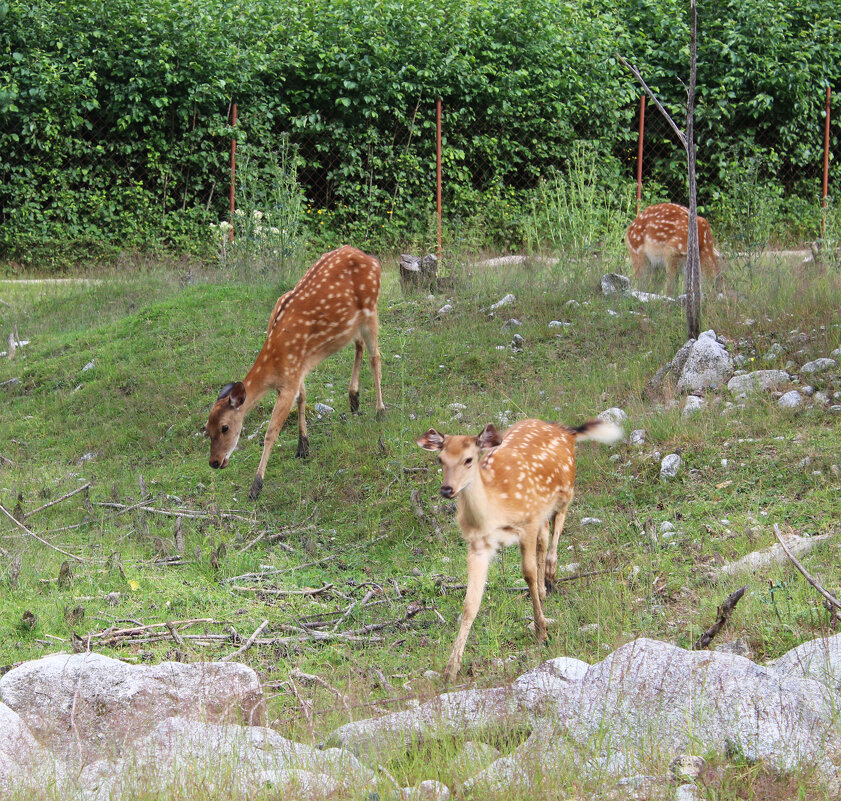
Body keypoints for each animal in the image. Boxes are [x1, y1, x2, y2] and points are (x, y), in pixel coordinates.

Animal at [207, 244, 384, 496]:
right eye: (206, 427)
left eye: (225, 427)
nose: (214, 462)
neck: (276, 358)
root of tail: (371, 258)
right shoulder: (298, 368)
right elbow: (303, 397)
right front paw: (303, 447)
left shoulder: (289, 379)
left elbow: (271, 432)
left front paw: (256, 486)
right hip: (353, 324)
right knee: (359, 346)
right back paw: (353, 399)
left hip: (371, 307)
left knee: (375, 357)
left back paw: (380, 411)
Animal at [416, 412, 620, 680]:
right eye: (440, 459)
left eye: (468, 459)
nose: (447, 489)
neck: (496, 509)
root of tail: (565, 431)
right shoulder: (477, 545)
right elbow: (470, 603)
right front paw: (452, 668)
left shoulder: (527, 523)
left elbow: (528, 573)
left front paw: (541, 631)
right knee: (546, 534)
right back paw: (545, 589)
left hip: (567, 488)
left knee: (558, 524)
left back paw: (551, 574)